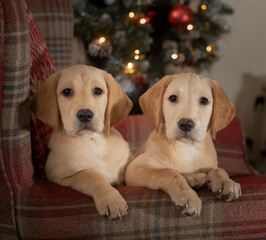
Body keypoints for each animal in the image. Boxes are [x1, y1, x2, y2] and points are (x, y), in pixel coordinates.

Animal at [30, 64, 132, 218]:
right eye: (67, 91)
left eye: (97, 91)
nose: (85, 114)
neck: (93, 142)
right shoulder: (59, 176)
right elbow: (91, 175)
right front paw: (111, 199)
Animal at [124, 73, 241, 218]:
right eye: (173, 98)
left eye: (204, 101)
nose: (186, 124)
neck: (187, 148)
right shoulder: (135, 167)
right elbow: (169, 172)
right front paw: (187, 196)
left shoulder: (210, 165)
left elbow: (219, 169)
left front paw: (226, 182)